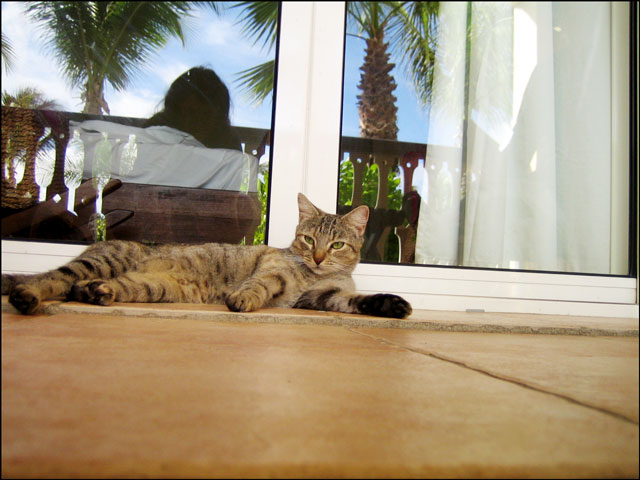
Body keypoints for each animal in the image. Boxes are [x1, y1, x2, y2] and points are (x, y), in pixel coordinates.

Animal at [2, 193, 412, 318]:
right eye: (308, 240)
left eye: (337, 244)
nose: (319, 257)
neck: (317, 277)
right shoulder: (274, 273)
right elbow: (259, 285)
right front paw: (242, 299)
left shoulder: (320, 298)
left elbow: (355, 301)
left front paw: (391, 304)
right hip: (105, 260)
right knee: (51, 279)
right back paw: (27, 296)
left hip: (145, 286)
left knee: (84, 287)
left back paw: (95, 293)